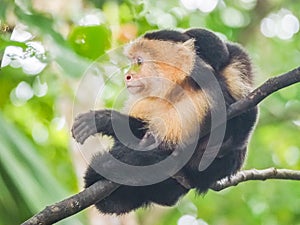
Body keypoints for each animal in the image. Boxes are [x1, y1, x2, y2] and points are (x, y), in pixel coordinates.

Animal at [71, 28, 256, 214]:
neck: (172, 91)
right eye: (132, 62)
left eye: (139, 62)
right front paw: (103, 120)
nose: (127, 76)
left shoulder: (206, 91)